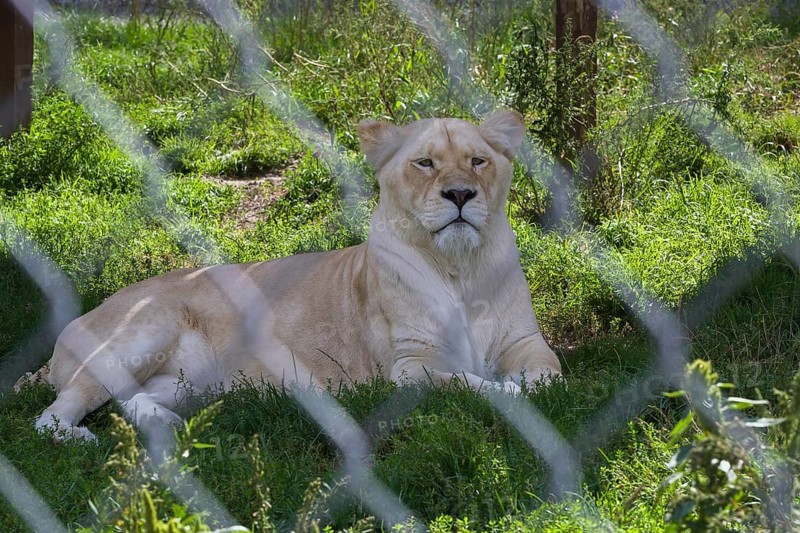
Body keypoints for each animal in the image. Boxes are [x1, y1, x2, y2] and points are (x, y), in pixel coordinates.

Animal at [25, 110, 561, 442]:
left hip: (186, 381)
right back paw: (77, 437)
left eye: (478, 161)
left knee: (129, 401)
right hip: (143, 330)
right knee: (56, 410)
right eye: (425, 162)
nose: (460, 195)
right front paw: (507, 393)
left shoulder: (526, 342)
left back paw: (171, 425)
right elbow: (469, 382)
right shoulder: (411, 366)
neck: (458, 268)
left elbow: (550, 374)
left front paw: (526, 388)